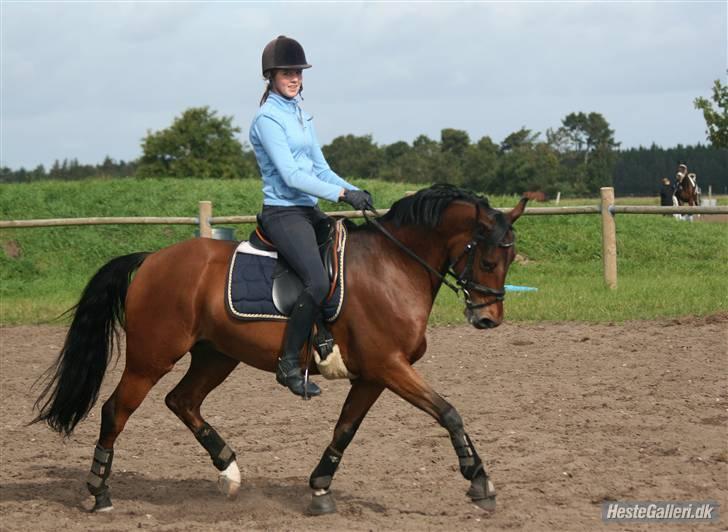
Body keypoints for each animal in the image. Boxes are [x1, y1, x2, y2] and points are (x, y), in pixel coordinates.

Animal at [32, 186, 528, 516]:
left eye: (510, 259)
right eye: (488, 259)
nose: (488, 318)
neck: (394, 267)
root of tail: (152, 258)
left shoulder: (373, 375)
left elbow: (345, 430)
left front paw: (321, 489)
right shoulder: (390, 366)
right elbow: (448, 412)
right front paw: (480, 482)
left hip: (216, 355)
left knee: (182, 401)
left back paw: (229, 472)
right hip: (151, 357)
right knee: (116, 410)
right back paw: (99, 492)